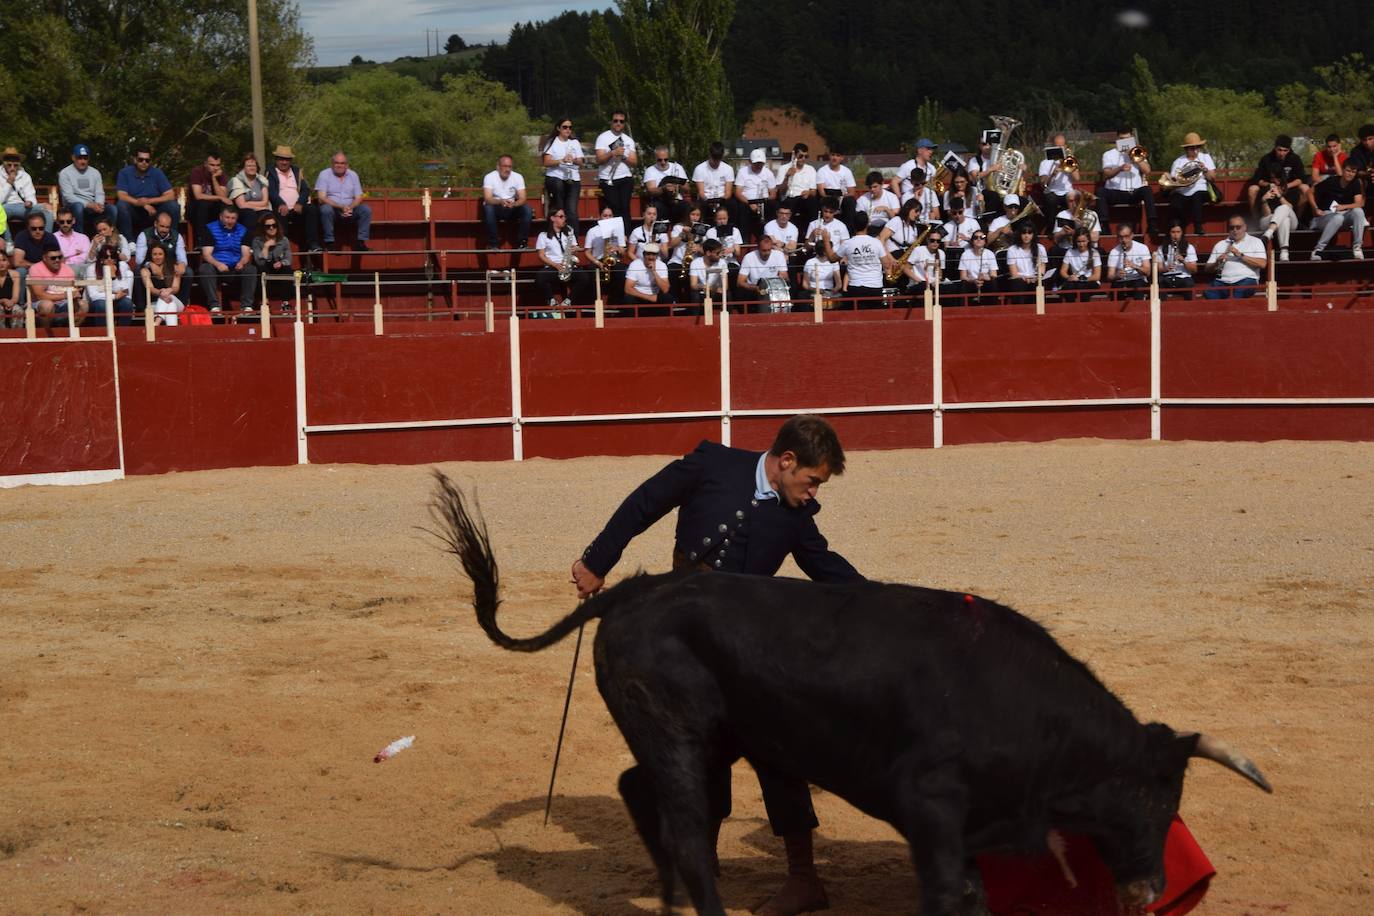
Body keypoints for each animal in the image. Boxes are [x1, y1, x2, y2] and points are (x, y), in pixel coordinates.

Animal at [431, 477, 1275, 911]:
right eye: (1156, 801)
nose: (1150, 889)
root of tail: (634, 591)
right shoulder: (930, 811)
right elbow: (952, 896)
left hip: (706, 740)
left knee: (642, 792)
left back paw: (669, 896)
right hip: (680, 736)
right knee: (690, 831)